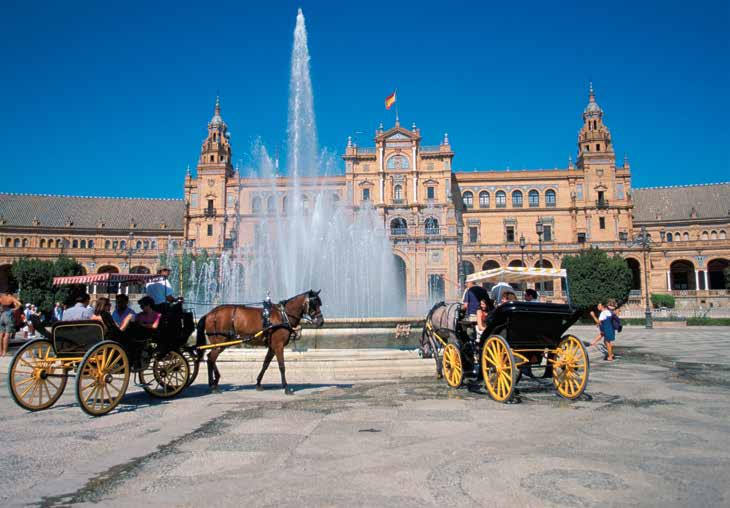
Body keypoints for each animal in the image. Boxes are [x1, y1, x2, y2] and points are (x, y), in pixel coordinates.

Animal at [198, 290, 326, 392]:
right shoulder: (278, 346)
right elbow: (282, 366)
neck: (283, 315)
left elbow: (265, 364)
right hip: (220, 341)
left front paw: (258, 383)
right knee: (211, 358)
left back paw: (213, 382)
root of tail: (209, 314)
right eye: (314, 304)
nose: (321, 321)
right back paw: (214, 384)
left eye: (320, 303)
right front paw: (286, 387)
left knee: (210, 357)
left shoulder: (272, 347)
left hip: (222, 343)